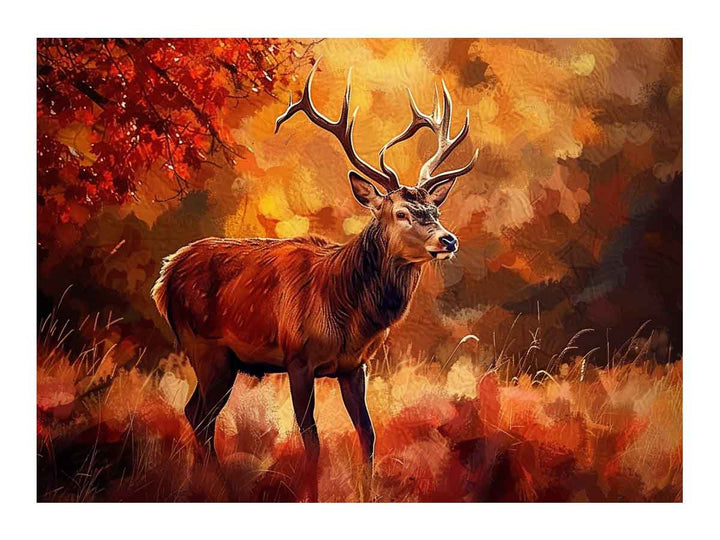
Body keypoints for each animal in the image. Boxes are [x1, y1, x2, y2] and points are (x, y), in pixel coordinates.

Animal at [151, 59, 478, 501]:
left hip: (220, 359)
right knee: (201, 417)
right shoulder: (298, 359)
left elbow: (368, 435)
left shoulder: (354, 366)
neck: (347, 310)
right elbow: (312, 440)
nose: (448, 239)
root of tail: (166, 274)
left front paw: (367, 492)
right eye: (401, 213)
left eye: (435, 210)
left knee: (193, 412)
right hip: (205, 348)